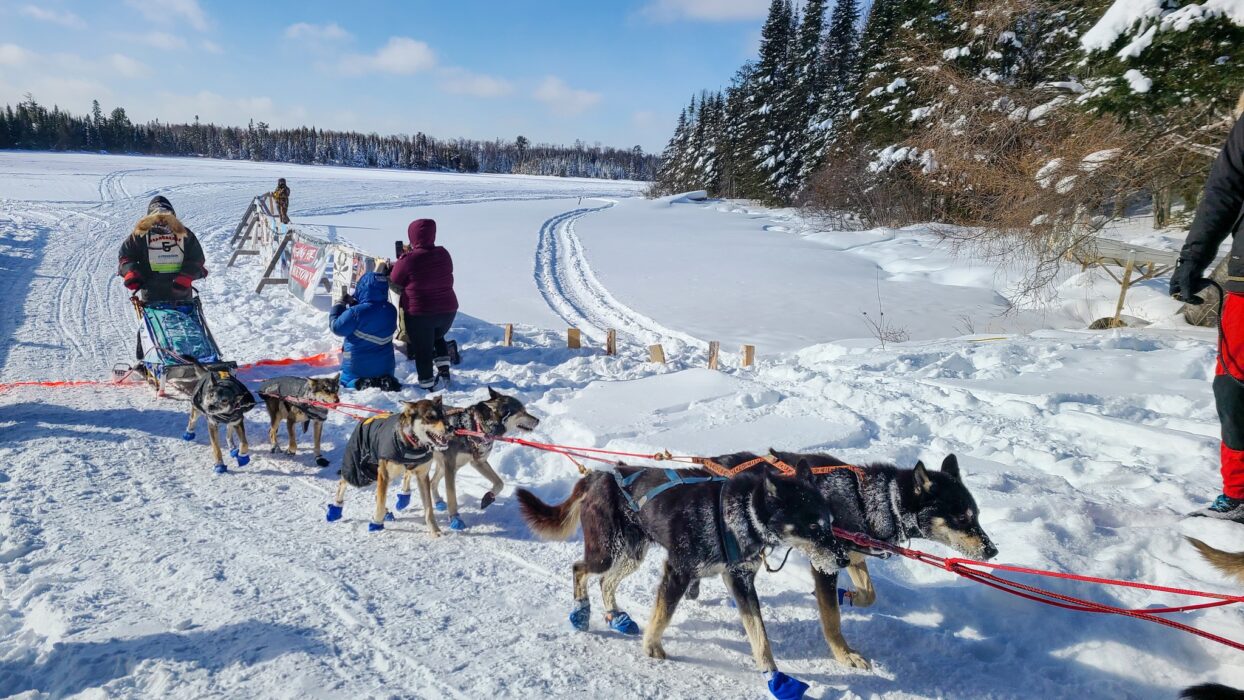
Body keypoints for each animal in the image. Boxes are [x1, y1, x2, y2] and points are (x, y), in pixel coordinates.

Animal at [325, 400, 452, 537]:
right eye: (430, 416)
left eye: (444, 415)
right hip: (360, 473)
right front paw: (376, 523)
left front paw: (434, 529)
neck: (411, 444)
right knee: (343, 482)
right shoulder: (384, 474)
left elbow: (428, 508)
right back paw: (335, 509)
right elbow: (380, 503)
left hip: (376, 473)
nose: (450, 428)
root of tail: (363, 420)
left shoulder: (422, 476)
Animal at [512, 460, 845, 691]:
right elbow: (662, 615)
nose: (842, 559)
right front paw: (651, 646)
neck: (737, 513)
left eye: (829, 522)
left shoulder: (740, 580)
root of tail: (599, 475)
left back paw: (616, 616)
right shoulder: (678, 572)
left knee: (606, 581)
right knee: (580, 569)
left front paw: (774, 676)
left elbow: (759, 634)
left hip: (632, 553)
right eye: (813, 527)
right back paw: (581, 612)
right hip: (606, 551)